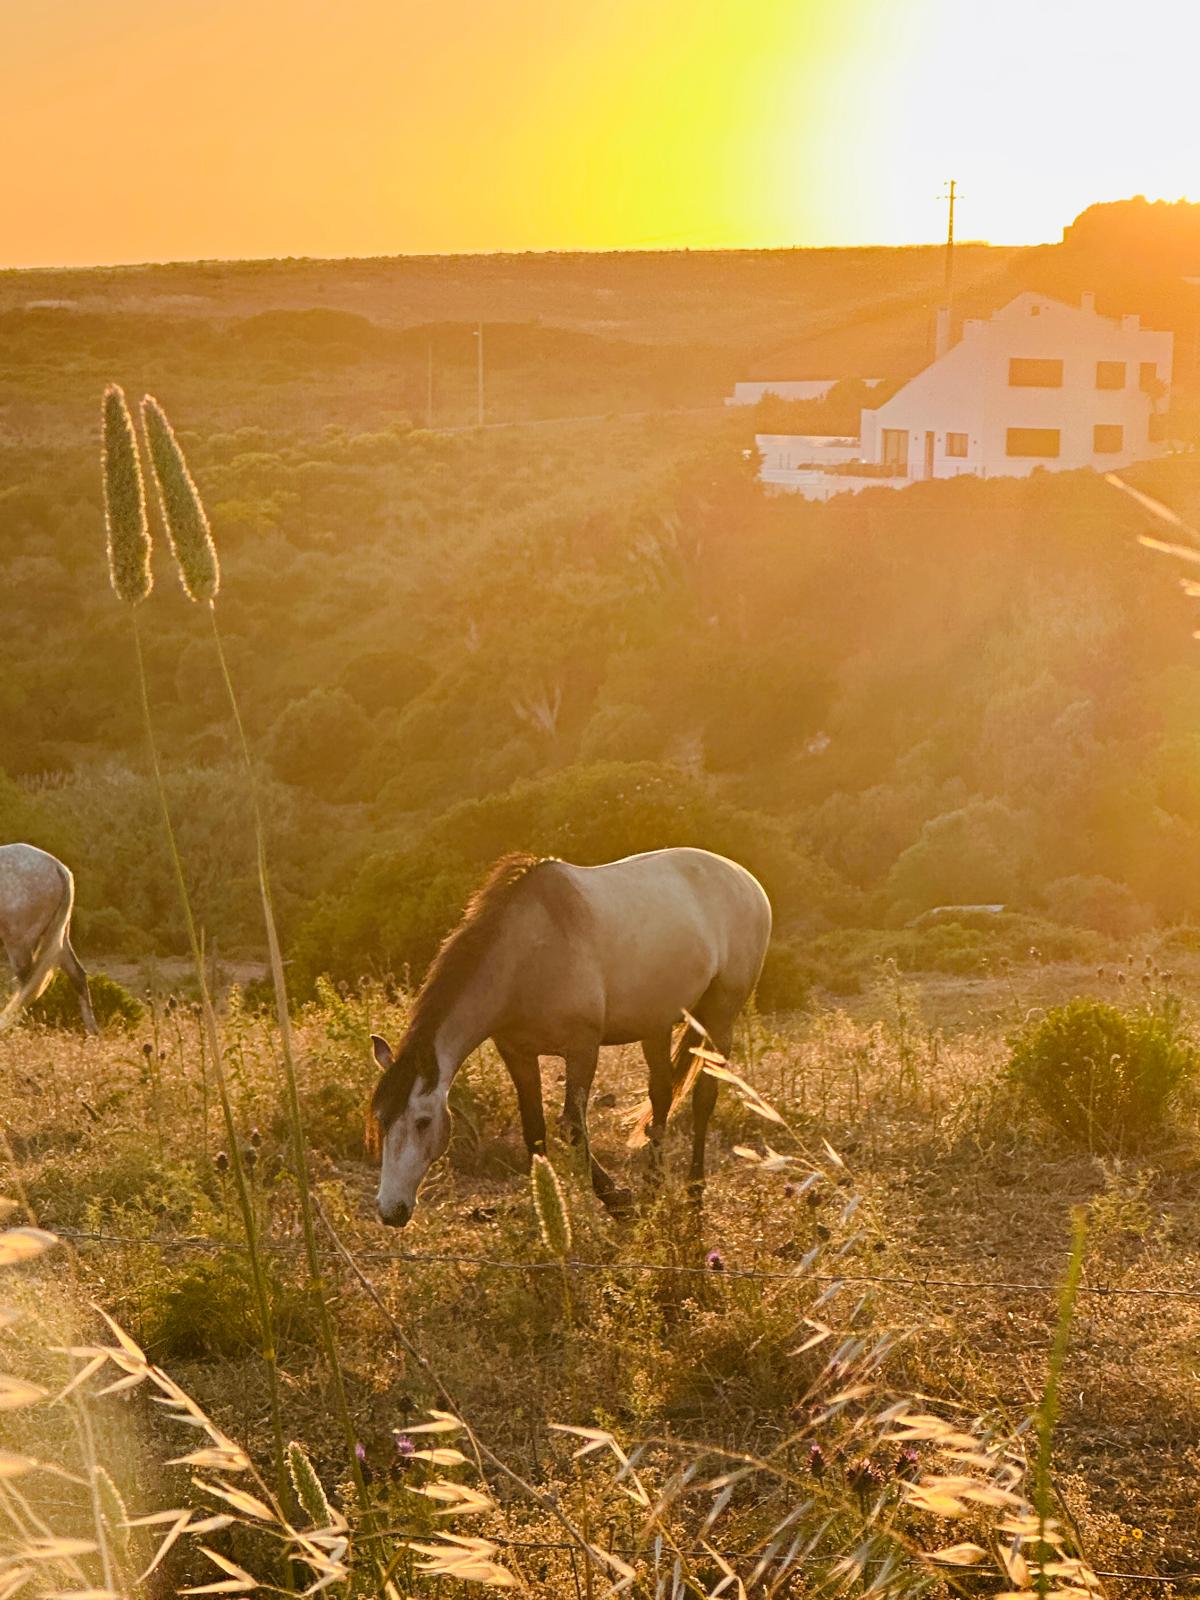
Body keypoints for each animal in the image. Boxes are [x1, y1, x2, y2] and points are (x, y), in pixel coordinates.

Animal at [0, 844, 98, 1035]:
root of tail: (58, 868)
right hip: (60, 939)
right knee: (78, 976)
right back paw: (93, 1034)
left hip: (20, 944)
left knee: (27, 985)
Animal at [367, 847, 772, 1227]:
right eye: (382, 1120)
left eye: (422, 1121)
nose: (391, 1210)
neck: (528, 953)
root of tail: (747, 881)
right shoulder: (517, 1053)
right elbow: (534, 1131)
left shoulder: (582, 1049)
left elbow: (575, 1130)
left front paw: (620, 1205)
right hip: (655, 1024)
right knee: (661, 1095)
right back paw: (653, 1188)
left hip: (720, 1017)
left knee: (704, 1097)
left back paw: (693, 1193)